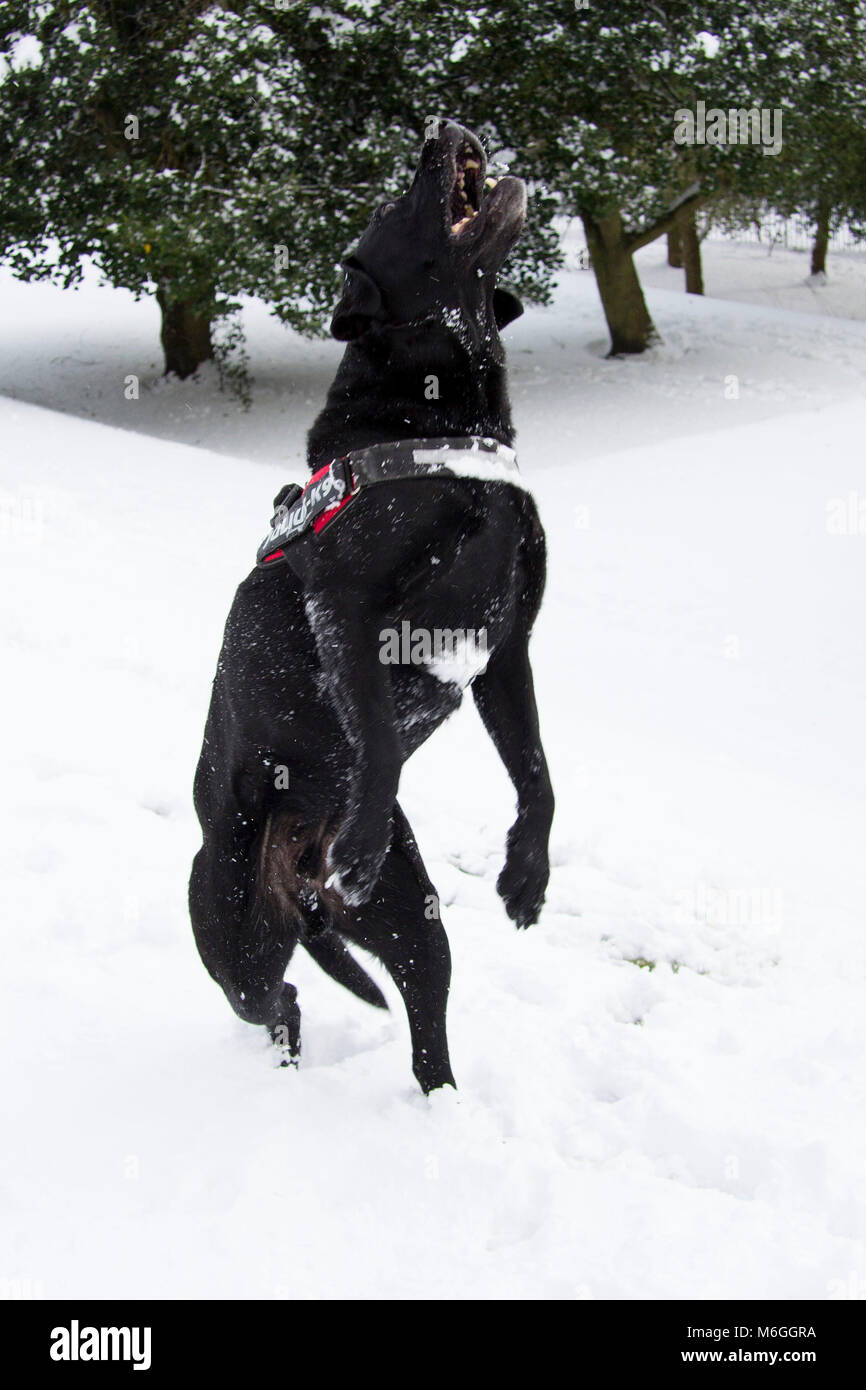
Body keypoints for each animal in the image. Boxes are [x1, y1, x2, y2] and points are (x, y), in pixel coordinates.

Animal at [190, 119, 556, 1089]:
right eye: (398, 202)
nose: (443, 128)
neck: (445, 425)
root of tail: (304, 882)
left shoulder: (507, 649)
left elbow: (537, 773)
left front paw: (527, 877)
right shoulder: (348, 609)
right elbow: (382, 737)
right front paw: (358, 845)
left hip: (413, 919)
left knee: (423, 1021)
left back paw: (444, 1108)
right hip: (234, 933)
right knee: (277, 998)